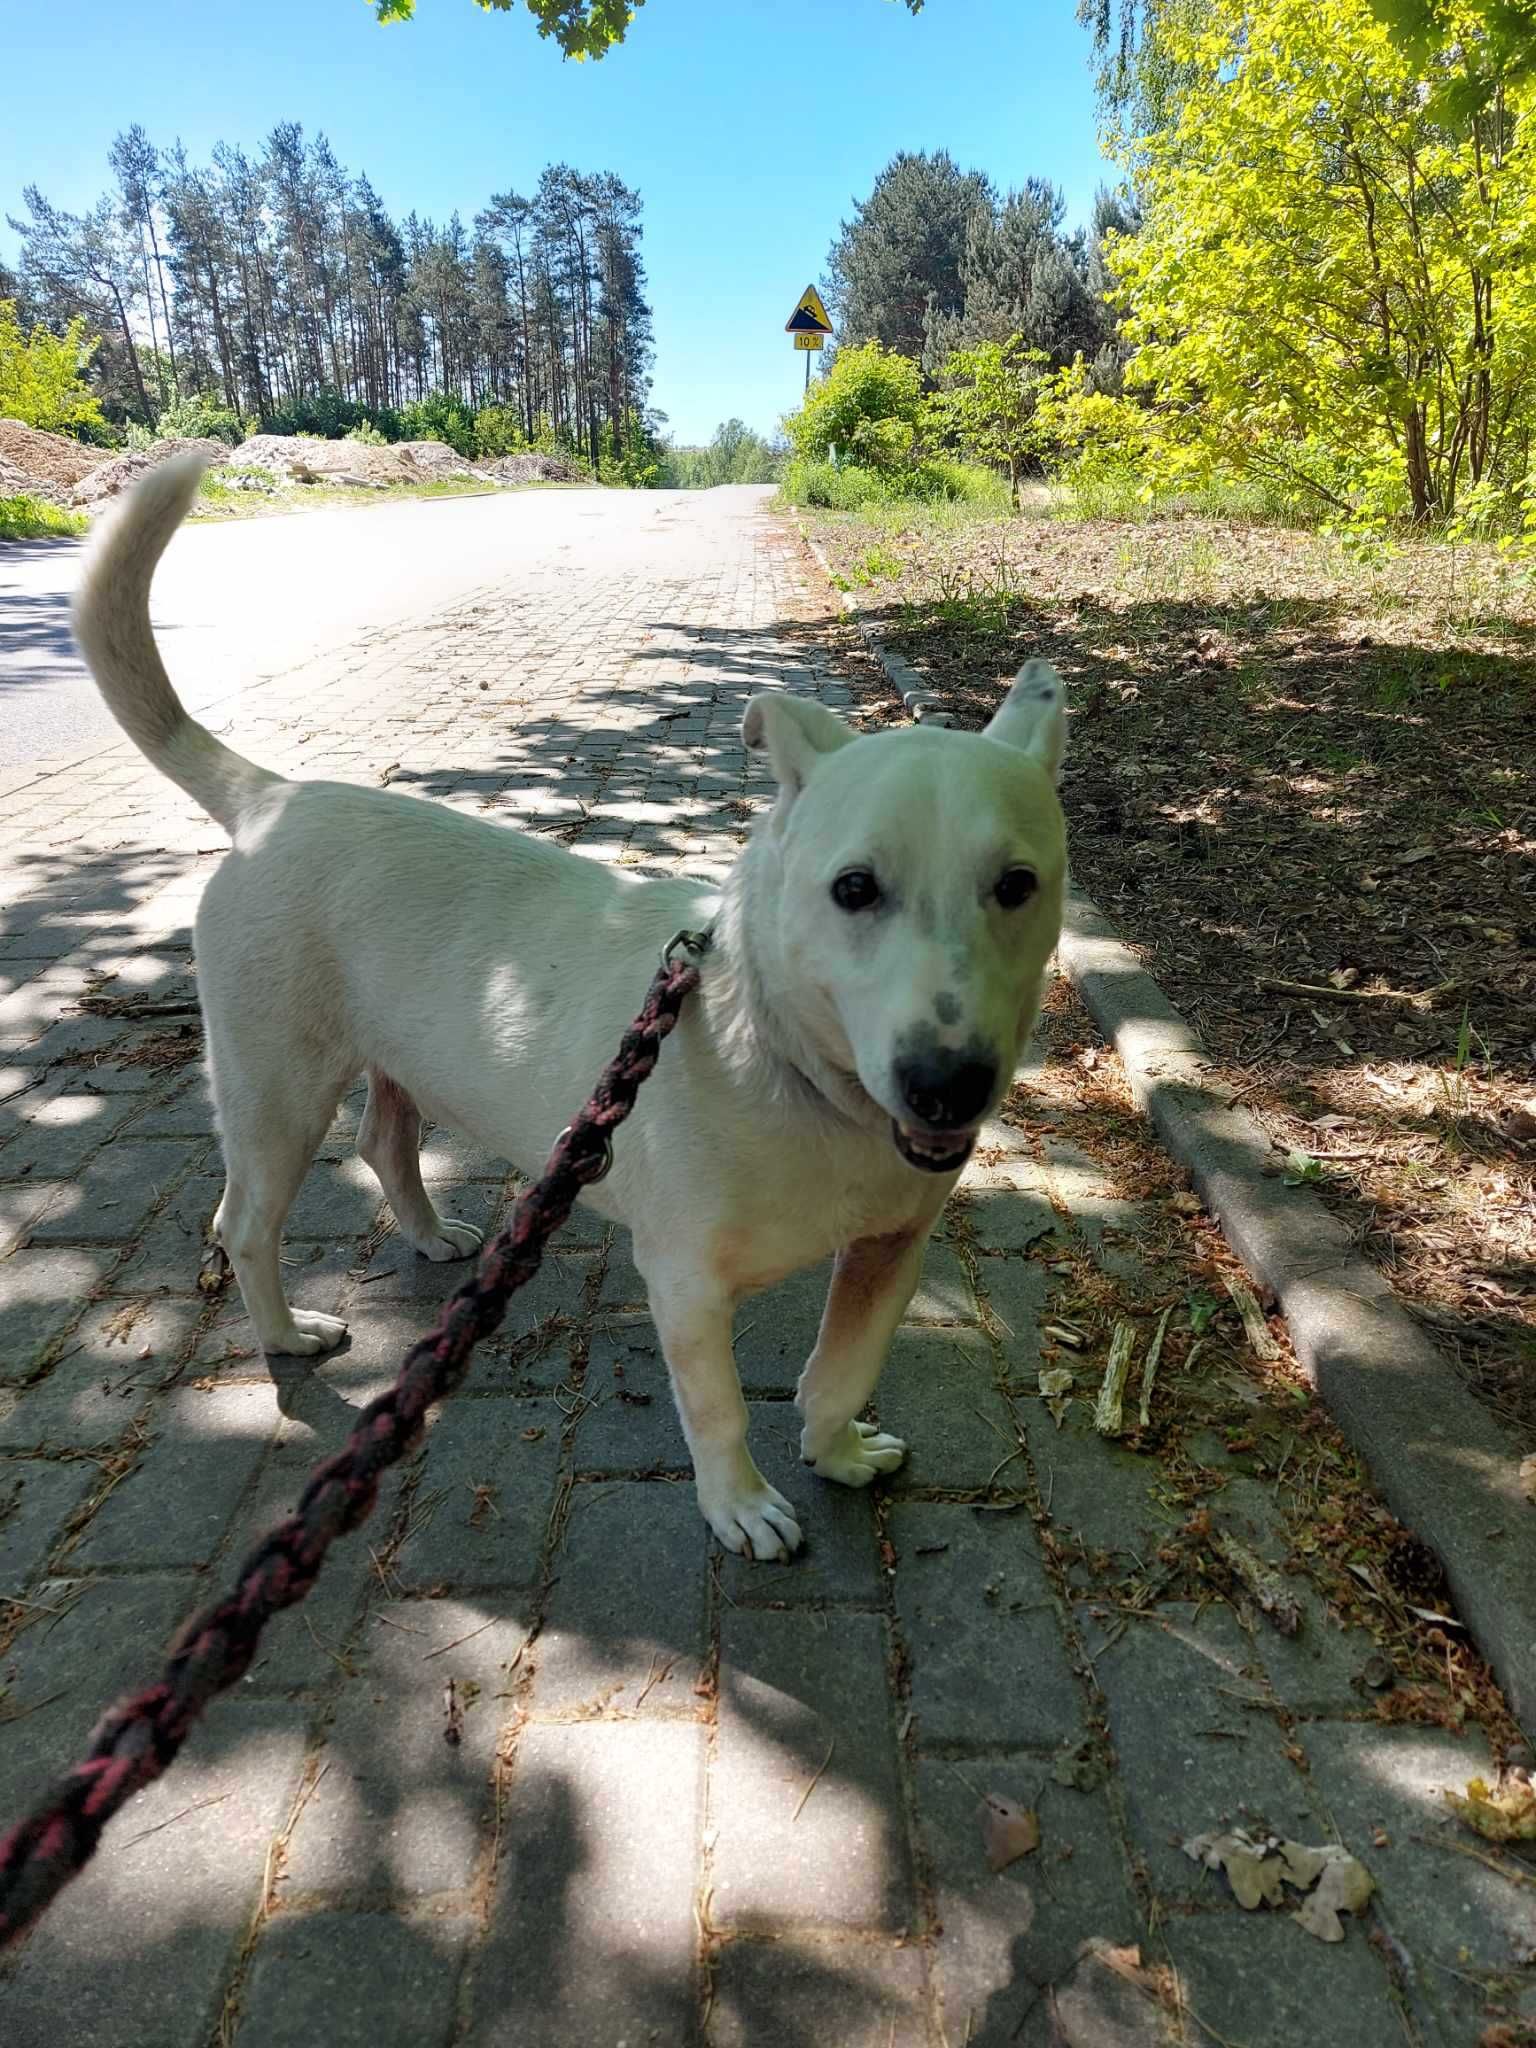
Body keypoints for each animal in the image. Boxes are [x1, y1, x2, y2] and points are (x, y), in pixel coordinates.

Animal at [75, 460, 1073, 1548]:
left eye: (1018, 885)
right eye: (854, 889)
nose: (947, 1086)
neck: (790, 1065)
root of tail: (271, 797)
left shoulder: (891, 1251)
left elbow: (844, 1372)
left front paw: (837, 1449)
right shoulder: (684, 1282)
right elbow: (719, 1408)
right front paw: (740, 1503)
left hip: (394, 1056)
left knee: (385, 1144)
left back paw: (429, 1234)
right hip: (276, 1093)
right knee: (245, 1221)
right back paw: (287, 1331)